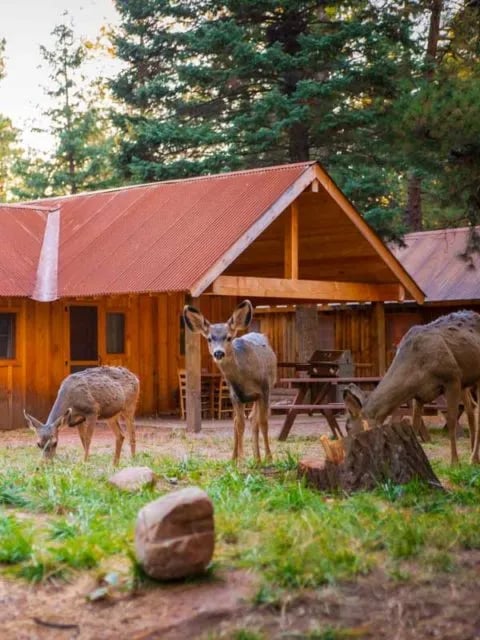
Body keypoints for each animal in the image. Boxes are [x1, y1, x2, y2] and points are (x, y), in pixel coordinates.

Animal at [183, 300, 277, 463]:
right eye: (209, 338)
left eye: (228, 337)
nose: (218, 353)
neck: (245, 377)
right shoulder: (235, 395)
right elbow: (239, 424)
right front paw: (240, 459)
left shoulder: (264, 390)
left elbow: (263, 422)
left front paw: (269, 458)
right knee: (242, 420)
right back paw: (237, 458)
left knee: (255, 420)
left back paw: (258, 458)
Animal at [343, 310, 480, 466]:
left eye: (348, 427)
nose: (346, 456)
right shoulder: (418, 395)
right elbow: (414, 425)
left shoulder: (452, 377)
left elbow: (451, 422)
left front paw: (454, 463)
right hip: (466, 382)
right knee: (471, 408)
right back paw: (474, 457)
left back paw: (472, 458)